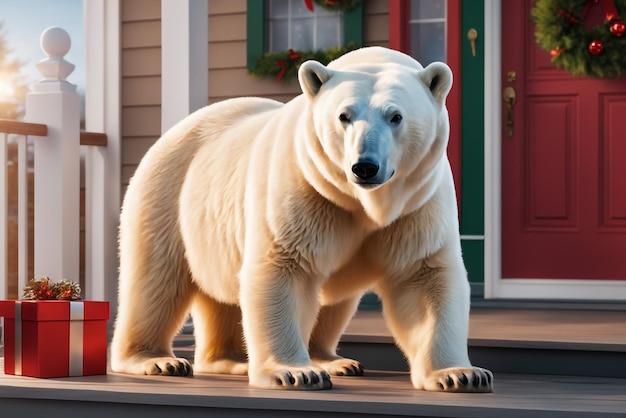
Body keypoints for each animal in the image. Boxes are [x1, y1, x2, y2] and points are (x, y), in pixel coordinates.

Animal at [111, 47, 492, 394]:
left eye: (395, 116)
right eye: (344, 116)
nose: (365, 166)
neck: (360, 203)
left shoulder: (417, 204)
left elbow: (423, 278)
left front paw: (461, 374)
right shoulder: (302, 188)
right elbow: (283, 268)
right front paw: (294, 373)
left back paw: (287, 359)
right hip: (167, 195)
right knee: (155, 280)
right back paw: (156, 359)